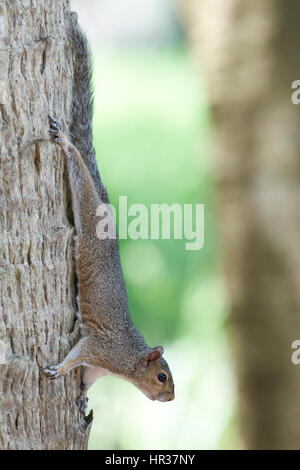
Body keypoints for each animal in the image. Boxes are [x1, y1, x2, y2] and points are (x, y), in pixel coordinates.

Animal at [43, 12, 175, 414]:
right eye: (161, 376)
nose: (170, 398)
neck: (128, 362)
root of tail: (106, 205)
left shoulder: (100, 367)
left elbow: (87, 377)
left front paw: (83, 395)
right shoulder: (102, 349)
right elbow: (79, 354)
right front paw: (60, 369)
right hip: (88, 209)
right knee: (80, 178)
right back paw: (68, 145)